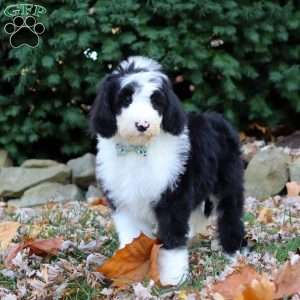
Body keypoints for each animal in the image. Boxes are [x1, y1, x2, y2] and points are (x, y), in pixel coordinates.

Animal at [88, 56, 244, 286]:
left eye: (156, 102)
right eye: (126, 99)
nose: (142, 124)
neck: (138, 150)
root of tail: (218, 118)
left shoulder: (172, 198)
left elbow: (172, 240)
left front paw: (172, 278)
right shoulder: (124, 202)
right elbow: (132, 238)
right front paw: (129, 268)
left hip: (228, 179)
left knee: (230, 212)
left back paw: (234, 250)